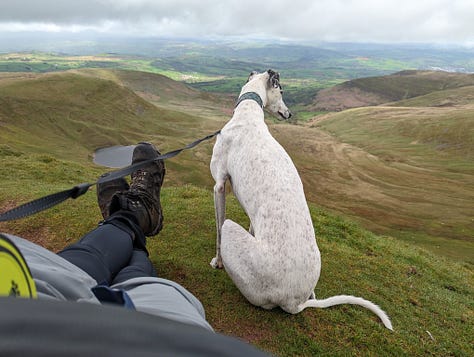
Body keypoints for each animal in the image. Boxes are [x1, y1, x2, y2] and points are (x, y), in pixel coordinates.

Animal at [211, 69, 392, 328]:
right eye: (282, 92)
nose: (289, 114)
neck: (248, 114)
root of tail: (294, 302)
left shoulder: (218, 185)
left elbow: (216, 228)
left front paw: (217, 262)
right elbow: (253, 224)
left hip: (233, 234)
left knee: (224, 228)